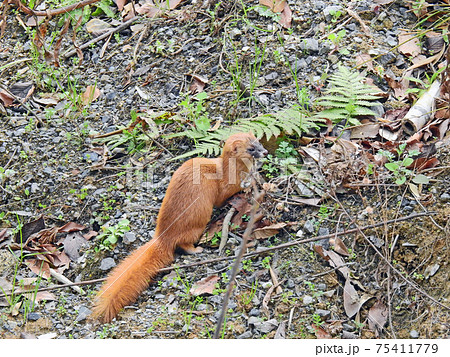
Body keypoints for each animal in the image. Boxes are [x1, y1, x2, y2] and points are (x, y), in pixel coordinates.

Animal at [92, 132, 268, 322]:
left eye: (258, 141)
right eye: (251, 148)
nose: (265, 151)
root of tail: (162, 236)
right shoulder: (224, 190)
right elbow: (223, 198)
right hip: (197, 223)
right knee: (184, 243)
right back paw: (197, 250)